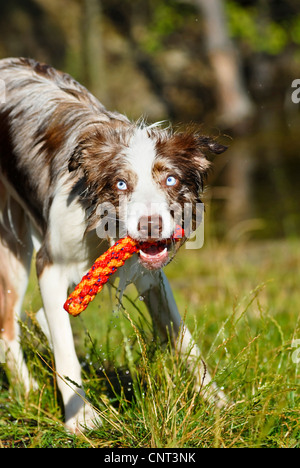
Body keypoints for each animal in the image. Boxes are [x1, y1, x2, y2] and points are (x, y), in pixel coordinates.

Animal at [0, 57, 226, 432]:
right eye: (121, 184)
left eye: (171, 180)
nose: (150, 225)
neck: (101, 226)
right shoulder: (50, 263)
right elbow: (65, 348)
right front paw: (81, 419)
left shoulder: (152, 276)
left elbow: (182, 337)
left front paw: (218, 400)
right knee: (8, 324)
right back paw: (29, 392)